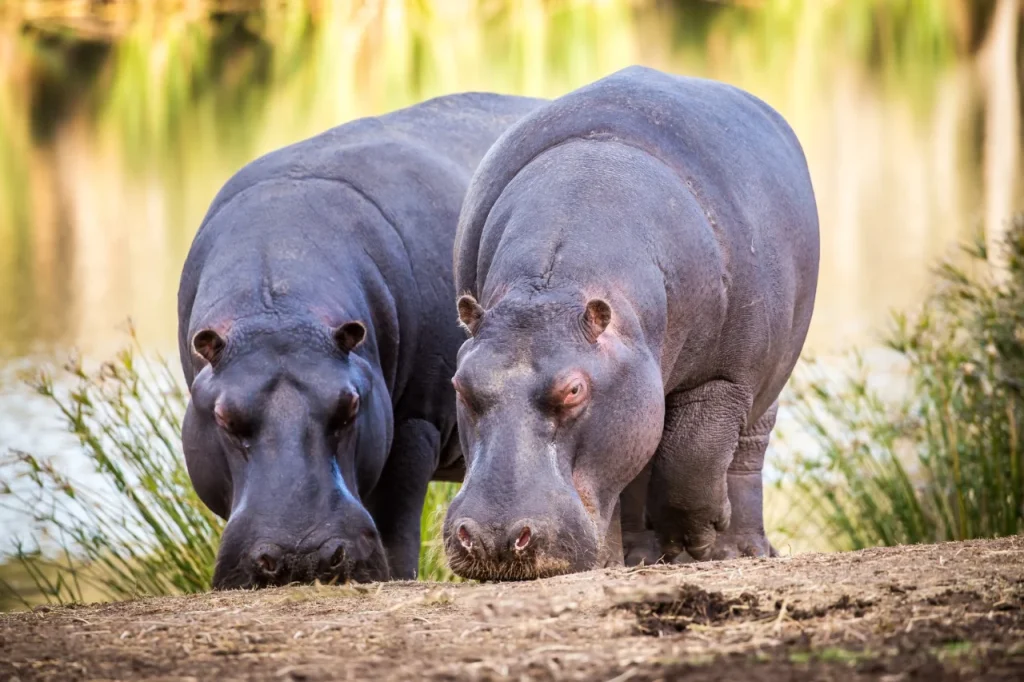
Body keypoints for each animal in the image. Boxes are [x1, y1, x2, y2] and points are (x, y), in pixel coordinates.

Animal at [177, 93, 542, 589]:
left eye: (350, 405)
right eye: (223, 417)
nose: (302, 556)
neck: (279, 305)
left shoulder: (415, 423)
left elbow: (395, 525)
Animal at [443, 66, 819, 580]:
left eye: (574, 390)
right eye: (460, 384)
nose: (492, 539)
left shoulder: (724, 377)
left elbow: (693, 455)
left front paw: (699, 538)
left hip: (765, 379)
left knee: (745, 451)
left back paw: (740, 550)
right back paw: (639, 556)